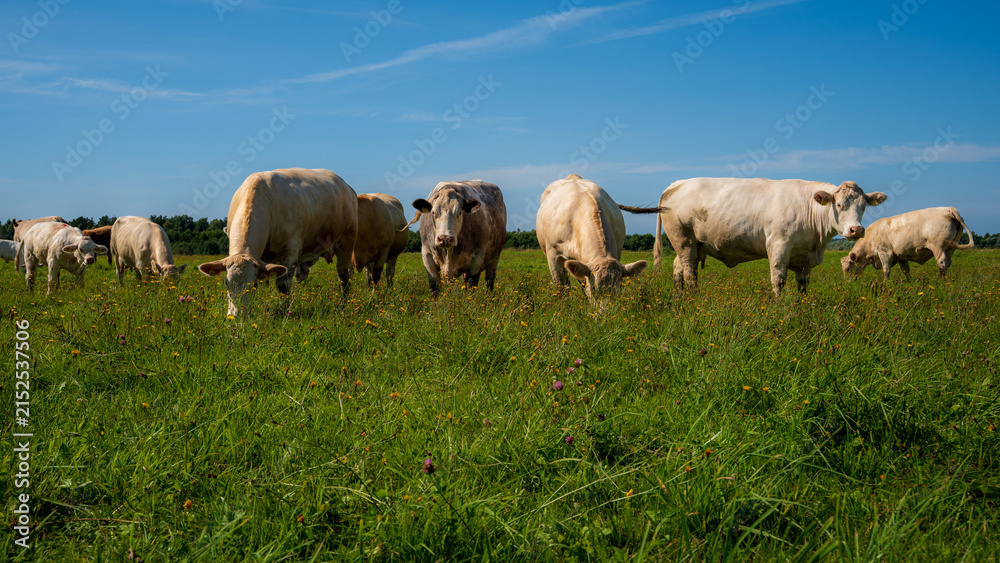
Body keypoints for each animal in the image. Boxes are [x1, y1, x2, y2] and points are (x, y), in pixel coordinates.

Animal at [197, 168, 358, 317]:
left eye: (254, 284)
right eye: (226, 282)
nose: (236, 316)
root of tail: (347, 186)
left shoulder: (291, 249)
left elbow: (283, 285)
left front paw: (284, 311)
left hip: (346, 241)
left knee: (344, 277)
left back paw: (343, 305)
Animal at [653, 178, 887, 295]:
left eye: (863, 206)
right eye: (838, 205)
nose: (857, 230)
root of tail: (675, 184)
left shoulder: (804, 258)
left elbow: (803, 285)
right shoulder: (778, 245)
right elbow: (779, 280)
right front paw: (779, 308)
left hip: (694, 244)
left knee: (678, 268)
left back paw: (680, 296)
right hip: (684, 239)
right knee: (689, 272)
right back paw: (693, 298)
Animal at [841, 207, 974, 280]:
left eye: (847, 269)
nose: (848, 284)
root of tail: (948, 209)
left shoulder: (884, 253)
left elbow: (886, 270)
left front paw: (886, 283)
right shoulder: (901, 256)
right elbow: (906, 271)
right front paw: (908, 283)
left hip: (938, 247)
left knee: (942, 264)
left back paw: (941, 280)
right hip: (951, 247)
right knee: (948, 263)